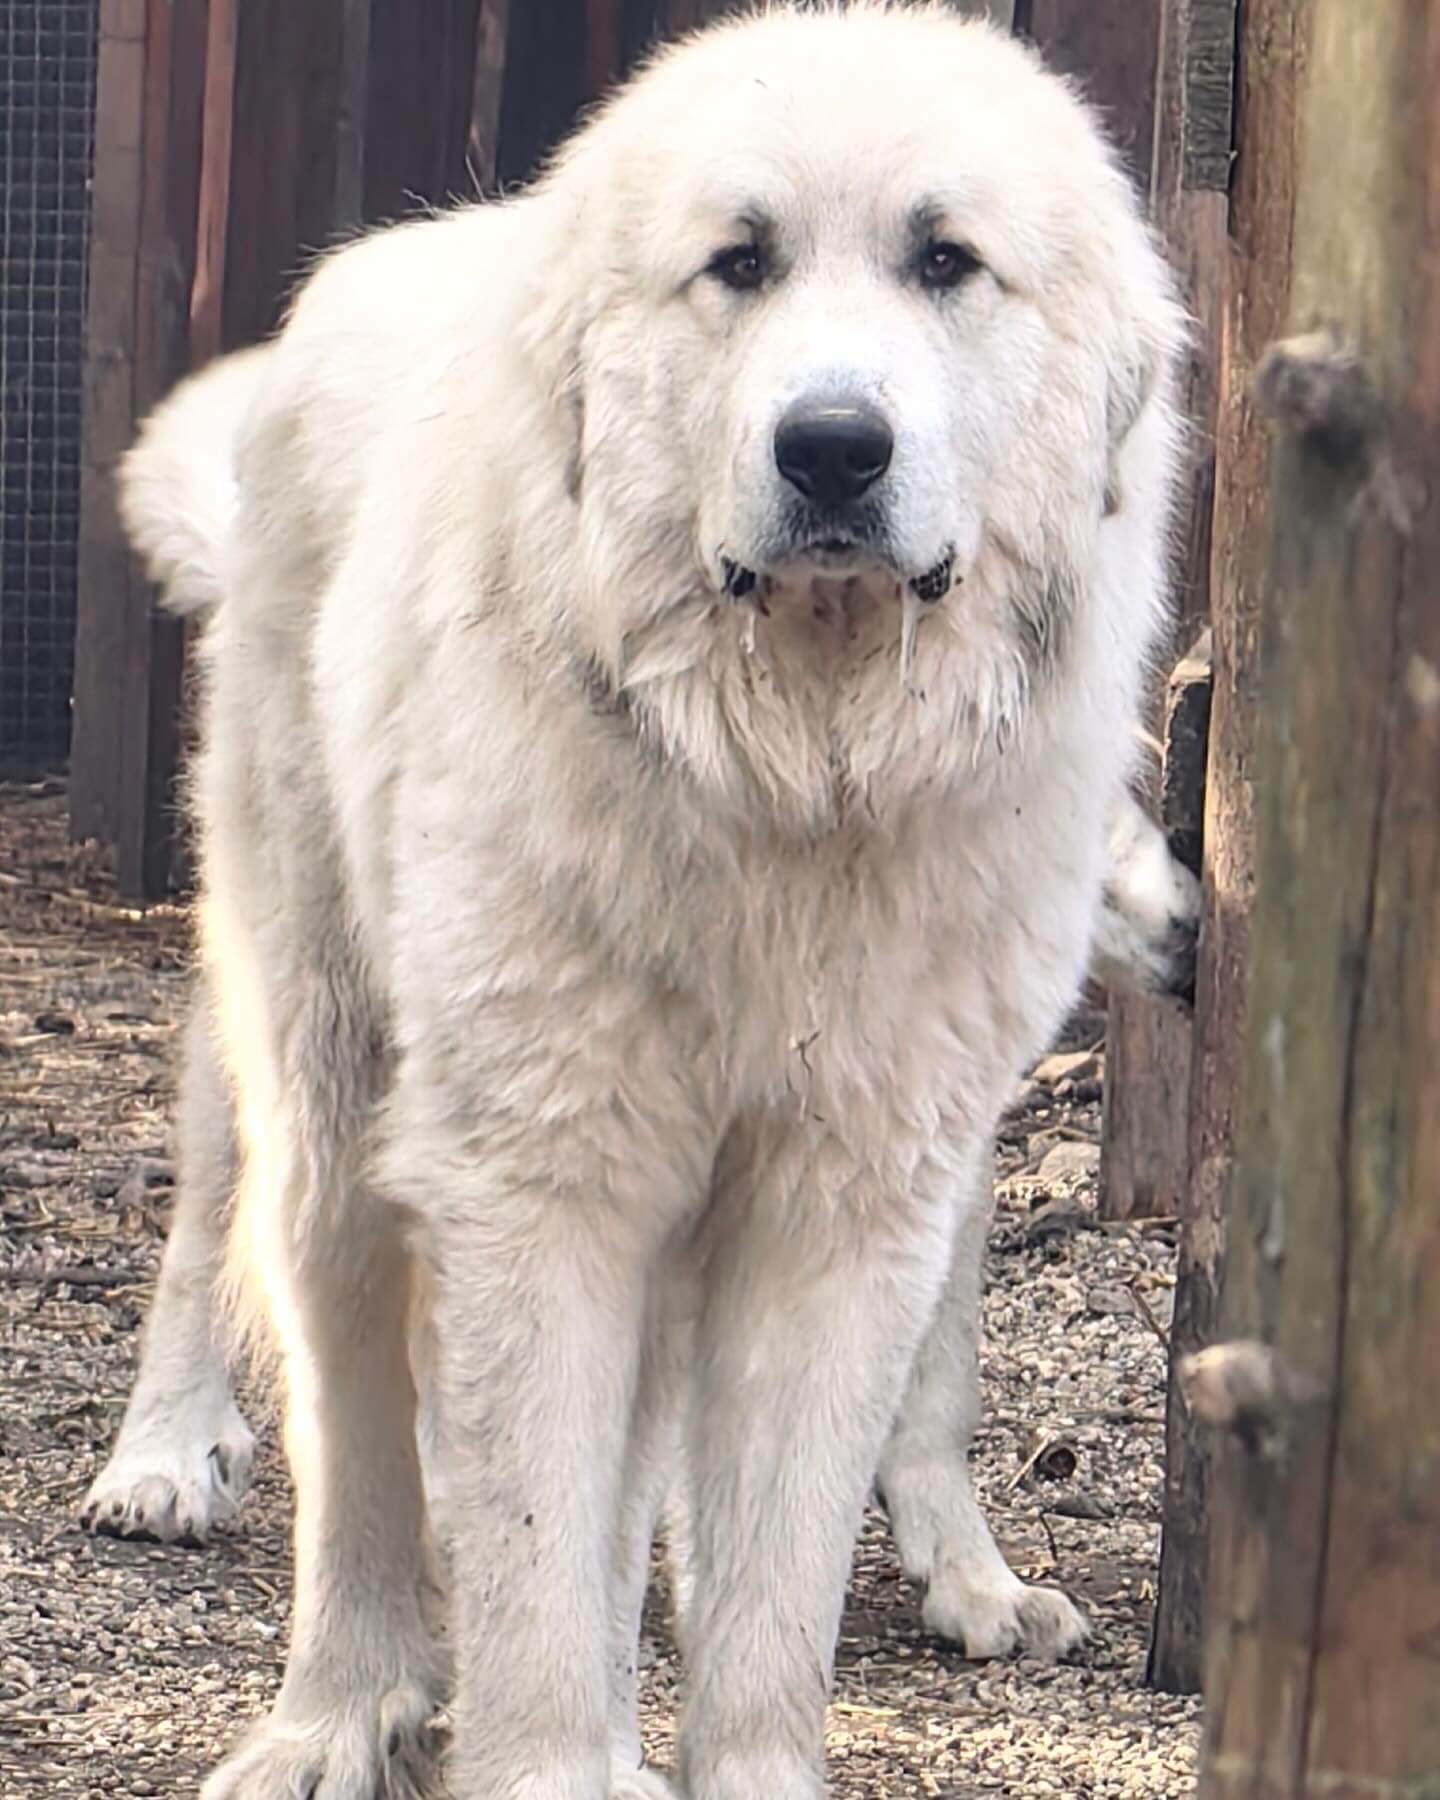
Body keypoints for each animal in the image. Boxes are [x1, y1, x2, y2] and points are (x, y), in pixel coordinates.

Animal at [98, 7, 1180, 1792]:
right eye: (739, 262)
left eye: (945, 262)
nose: (834, 450)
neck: (788, 782)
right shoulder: (544, 1181)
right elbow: (529, 1560)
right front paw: (533, 1752)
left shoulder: (848, 1204)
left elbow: (770, 1593)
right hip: (328, 1081)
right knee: (328, 1387)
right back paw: (305, 1669)